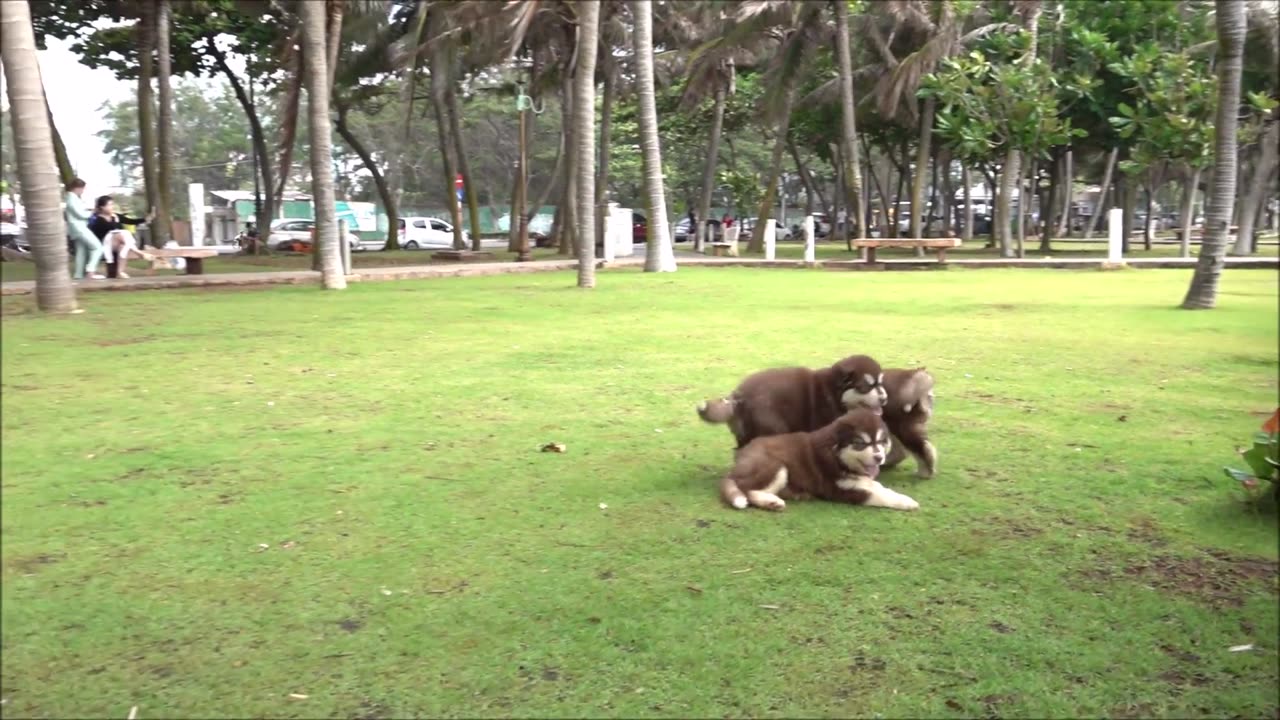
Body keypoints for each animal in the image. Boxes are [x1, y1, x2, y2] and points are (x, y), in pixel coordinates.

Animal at [696, 351, 885, 445]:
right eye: (867, 387)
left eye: (880, 383)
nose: (884, 399)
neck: (834, 392)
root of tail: (739, 394)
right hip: (774, 429)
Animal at [721, 407, 921, 512]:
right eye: (860, 444)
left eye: (881, 441)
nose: (879, 457)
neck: (838, 457)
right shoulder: (839, 490)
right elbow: (877, 495)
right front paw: (907, 503)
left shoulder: (862, 481)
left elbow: (879, 488)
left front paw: (902, 497)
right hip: (776, 465)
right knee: (747, 489)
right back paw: (772, 502)